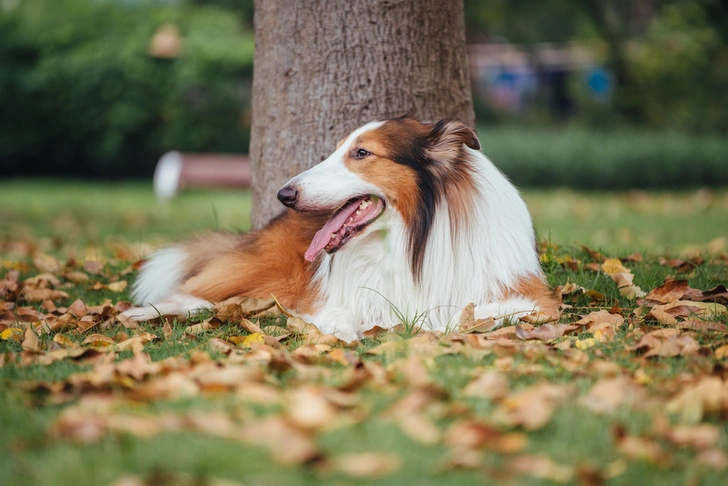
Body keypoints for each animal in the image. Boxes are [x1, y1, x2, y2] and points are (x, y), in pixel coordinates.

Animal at [123, 117, 556, 342]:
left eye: (361, 153)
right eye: (335, 150)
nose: (284, 193)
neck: (412, 240)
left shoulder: (537, 301)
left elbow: (466, 311)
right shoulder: (332, 298)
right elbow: (340, 314)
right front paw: (342, 336)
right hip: (254, 269)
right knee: (188, 293)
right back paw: (140, 313)